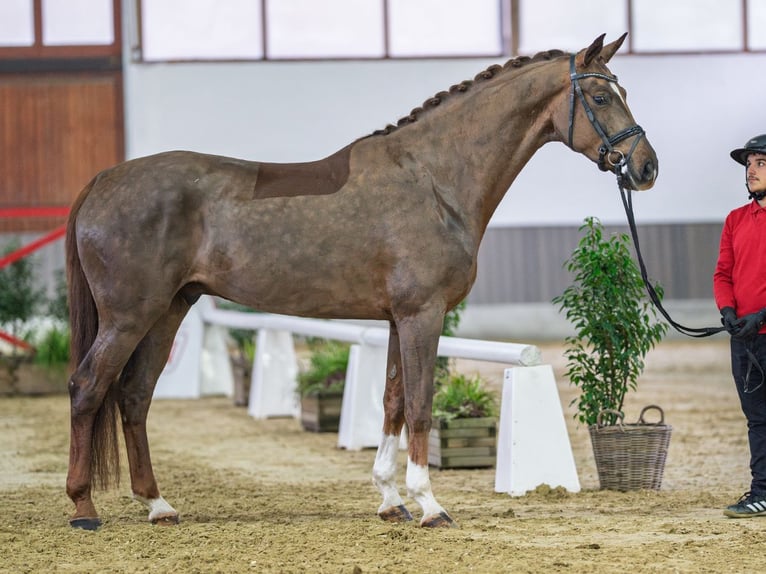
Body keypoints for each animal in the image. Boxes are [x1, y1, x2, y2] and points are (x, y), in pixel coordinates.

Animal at [65, 33, 657, 530]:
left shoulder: (397, 318)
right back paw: (84, 508)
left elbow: (392, 401)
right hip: (129, 316)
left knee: (135, 395)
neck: (434, 179)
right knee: (89, 387)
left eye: (624, 91)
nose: (646, 167)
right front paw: (430, 504)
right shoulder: (423, 315)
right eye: (600, 96)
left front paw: (391, 500)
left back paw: (157, 505)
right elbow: (420, 404)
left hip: (169, 309)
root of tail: (102, 180)